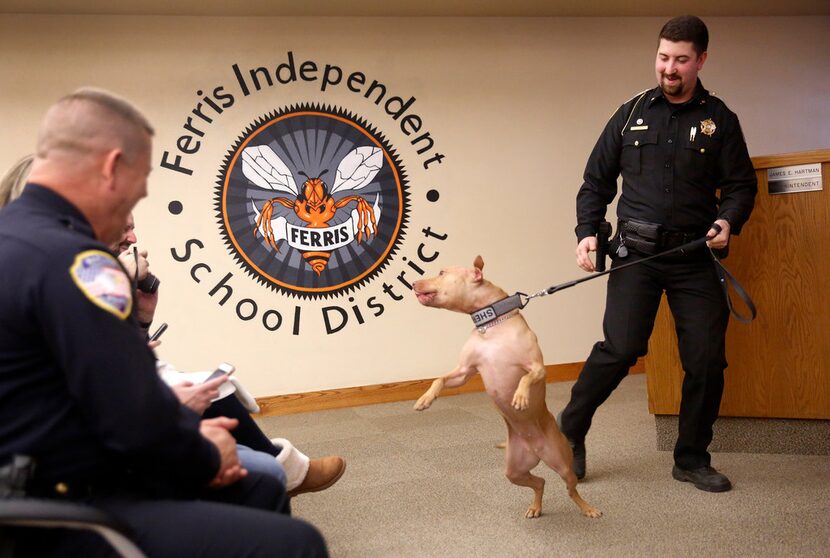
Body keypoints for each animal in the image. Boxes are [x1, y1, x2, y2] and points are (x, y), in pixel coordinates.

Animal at [412, 258, 600, 520]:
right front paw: (425, 399)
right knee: (540, 482)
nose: (412, 283)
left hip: (563, 463)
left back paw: (588, 508)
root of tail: (536, 449)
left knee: (571, 489)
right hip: (514, 470)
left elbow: (527, 378)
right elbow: (438, 379)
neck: (491, 325)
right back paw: (536, 506)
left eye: (441, 272)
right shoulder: (464, 372)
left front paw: (520, 397)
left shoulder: (537, 367)